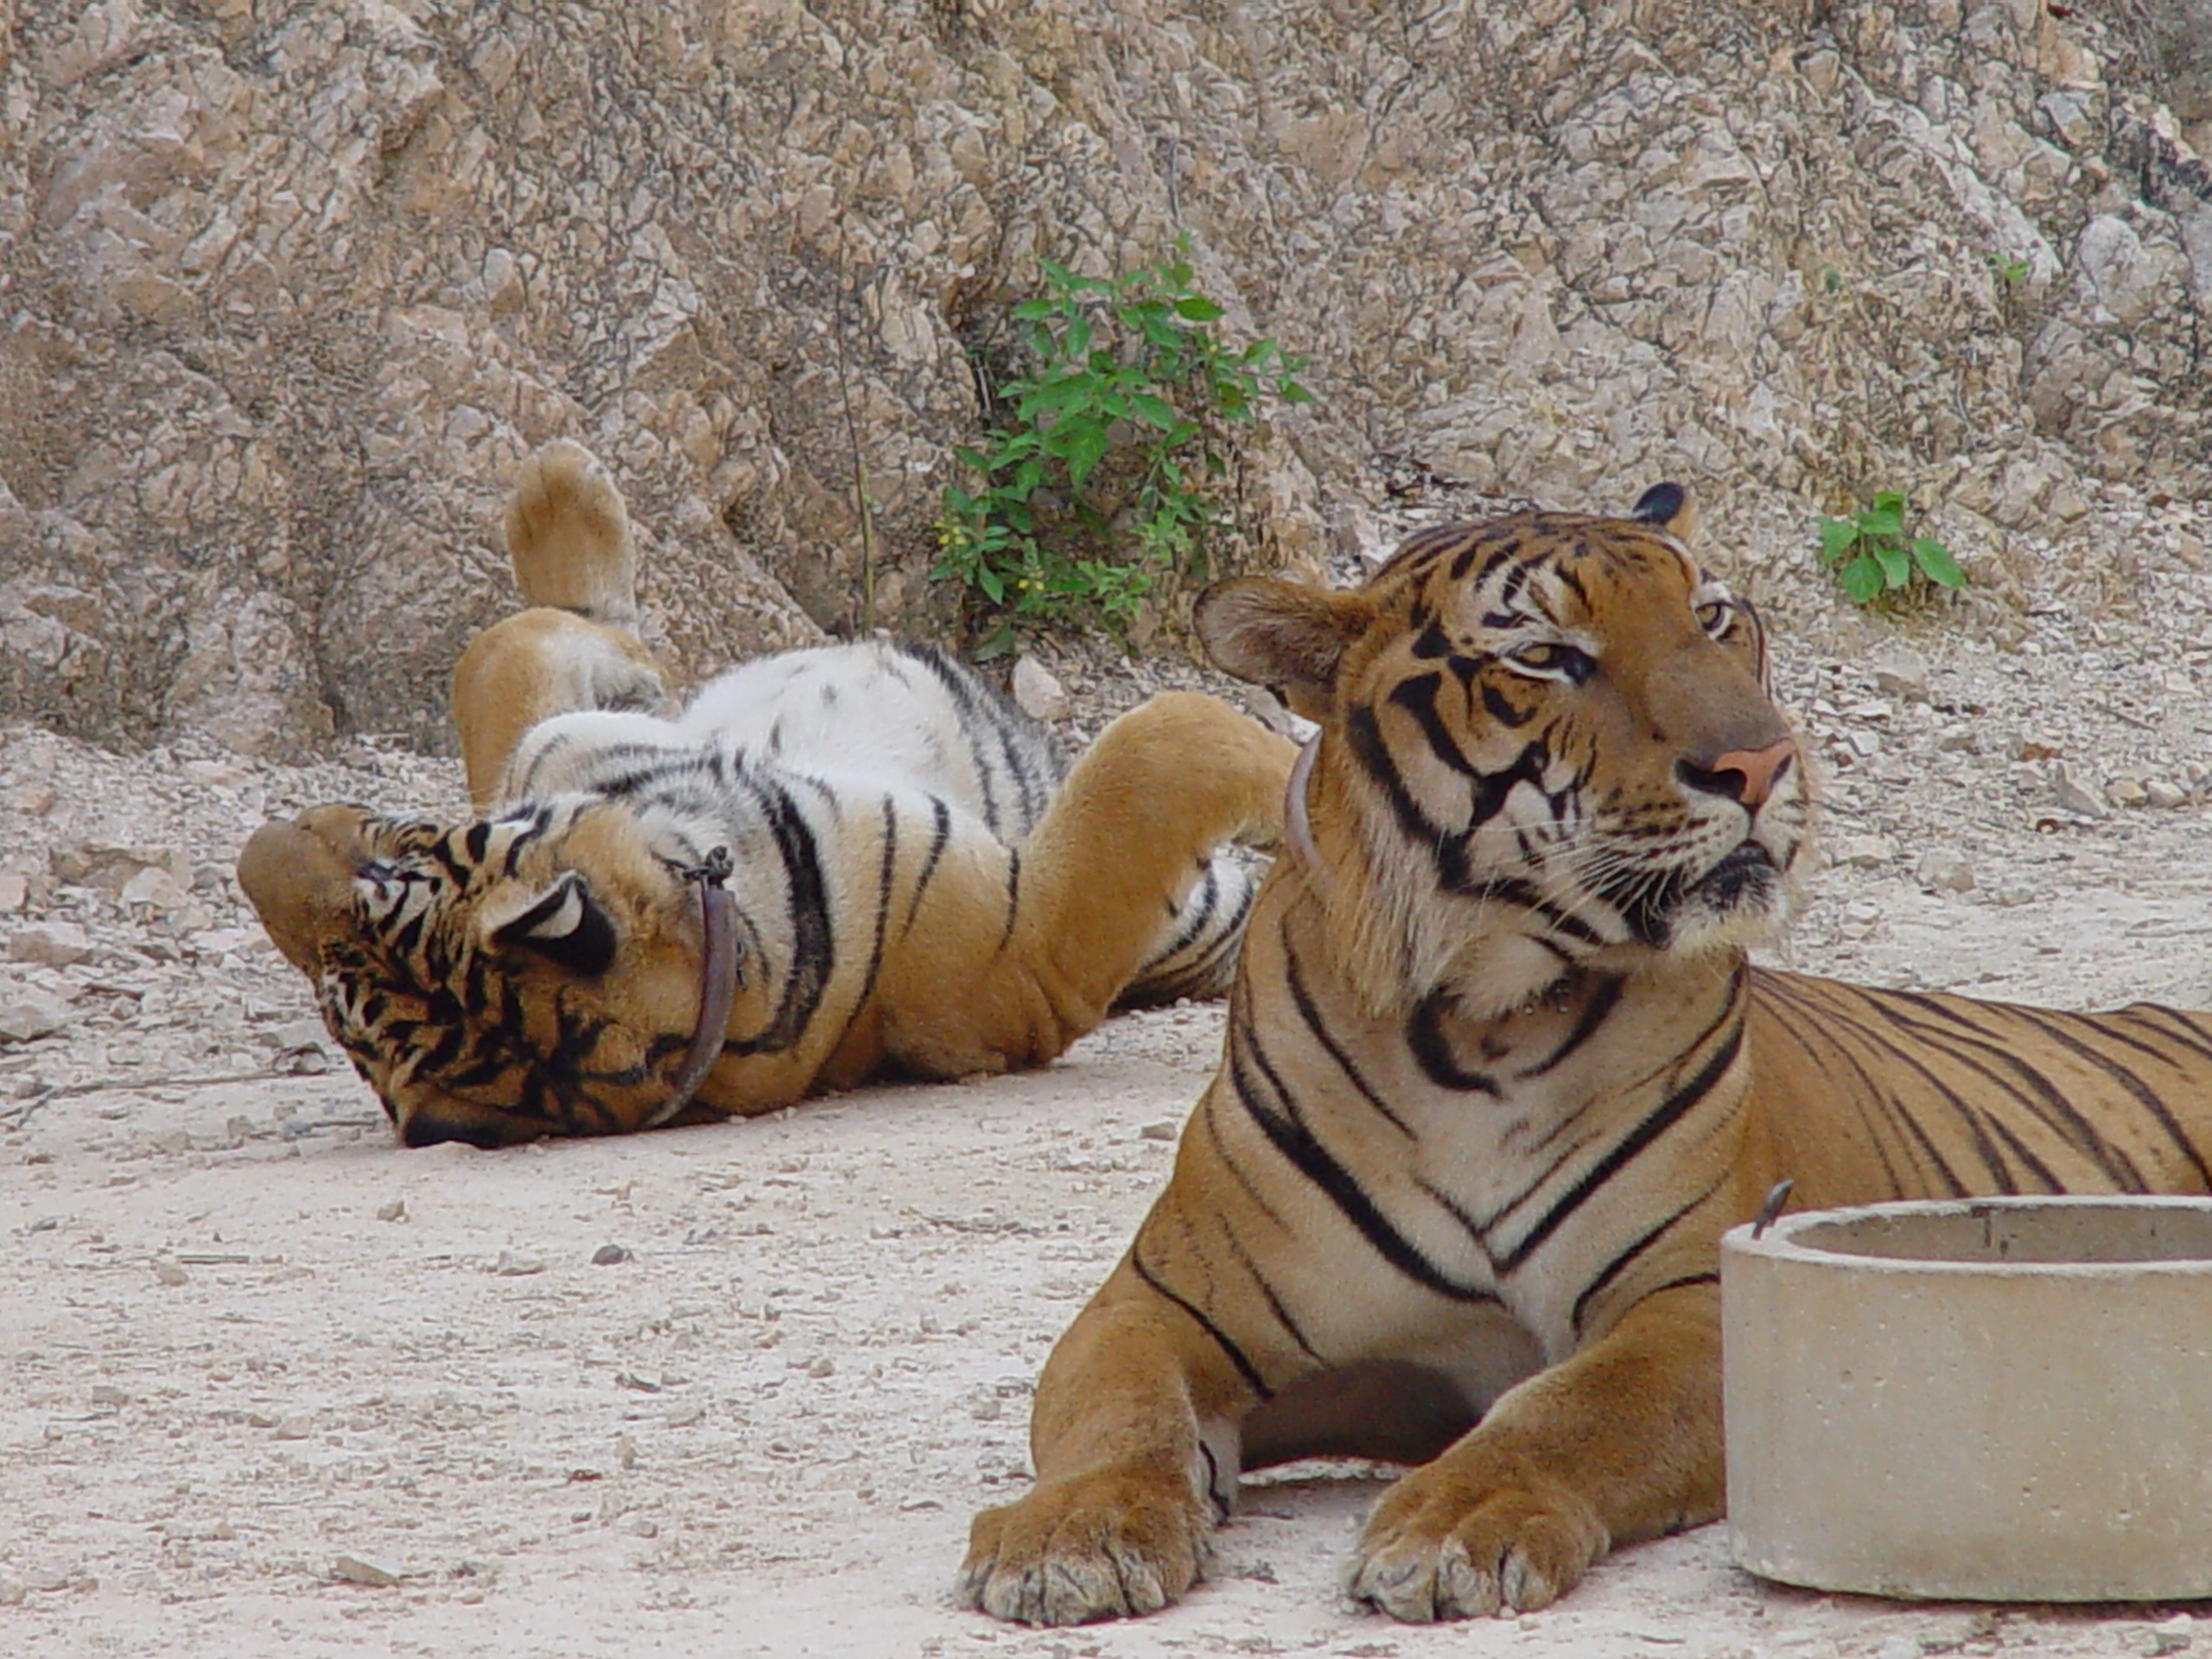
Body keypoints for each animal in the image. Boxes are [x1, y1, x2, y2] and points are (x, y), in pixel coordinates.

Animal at [238, 437, 1292, 1159]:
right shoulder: (1031, 942)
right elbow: (1165, 743)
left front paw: (558, 488)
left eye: (393, 852)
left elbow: (510, 649)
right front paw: (1300, 766)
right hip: (1196, 913)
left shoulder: (554, 745)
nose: (256, 850)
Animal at [964, 486, 2212, 1628]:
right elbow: (1120, 1414)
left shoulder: (1693, 1294)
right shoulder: (1160, 1302)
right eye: (1548, 657)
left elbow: (1571, 1410)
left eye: (1712, 619)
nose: (1762, 763)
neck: (1478, 1020)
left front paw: (1452, 1525)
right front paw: (1070, 1537)